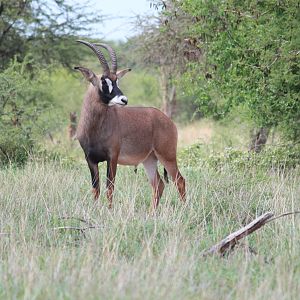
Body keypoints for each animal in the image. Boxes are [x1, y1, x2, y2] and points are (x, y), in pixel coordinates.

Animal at [74, 39, 185, 209]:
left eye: (117, 80)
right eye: (104, 81)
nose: (124, 100)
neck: (94, 128)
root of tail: (167, 120)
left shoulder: (112, 157)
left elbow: (109, 187)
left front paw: (109, 211)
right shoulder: (90, 159)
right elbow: (95, 189)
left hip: (167, 156)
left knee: (179, 181)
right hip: (149, 159)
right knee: (158, 184)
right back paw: (151, 213)